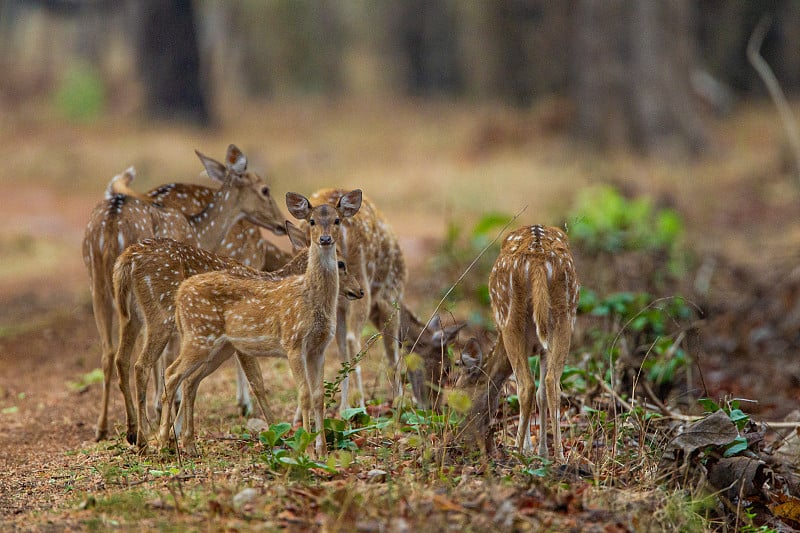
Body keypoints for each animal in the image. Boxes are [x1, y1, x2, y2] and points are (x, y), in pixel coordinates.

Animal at [81, 145, 286, 440]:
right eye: (265, 189)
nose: (282, 223)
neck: (200, 229)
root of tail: (111, 223)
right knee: (138, 357)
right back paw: (143, 426)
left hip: (98, 282)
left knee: (111, 353)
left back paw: (109, 428)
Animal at [454, 224, 580, 462]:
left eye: (458, 398)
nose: (458, 437)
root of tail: (538, 259)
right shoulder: (542, 349)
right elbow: (542, 395)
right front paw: (542, 452)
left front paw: (530, 449)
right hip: (563, 317)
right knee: (552, 383)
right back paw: (560, 456)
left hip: (510, 319)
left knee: (526, 386)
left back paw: (517, 452)